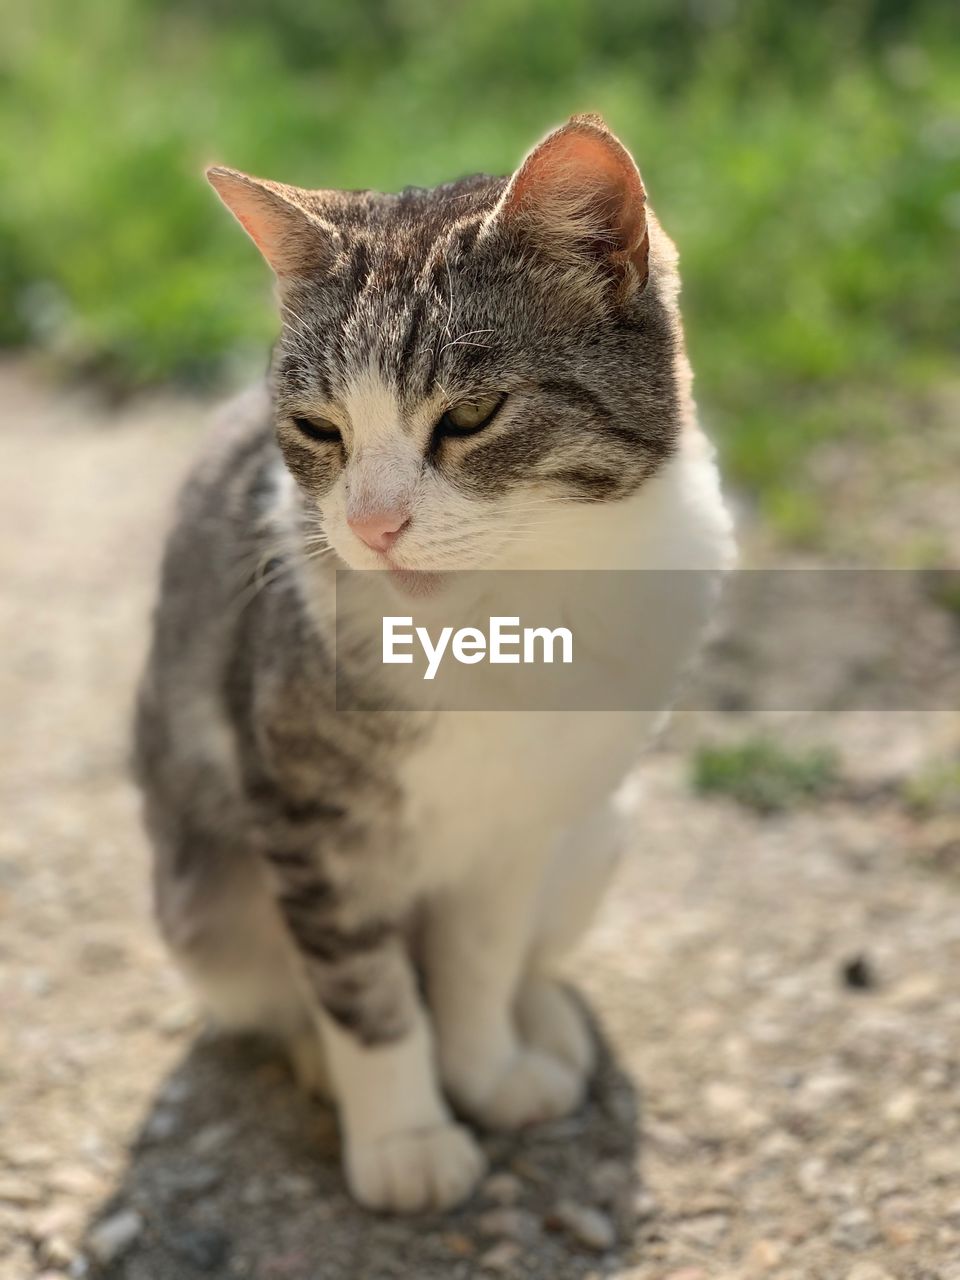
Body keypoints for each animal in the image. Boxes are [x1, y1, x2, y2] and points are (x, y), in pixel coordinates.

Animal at [133, 117, 737, 1208]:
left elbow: (481, 957)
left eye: (471, 414)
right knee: (278, 981)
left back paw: (544, 1023)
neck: (500, 619)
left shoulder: (517, 823)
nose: (374, 526)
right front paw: (406, 1135)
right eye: (319, 428)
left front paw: (488, 1069)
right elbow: (365, 990)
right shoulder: (310, 820)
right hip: (203, 897)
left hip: (600, 820)